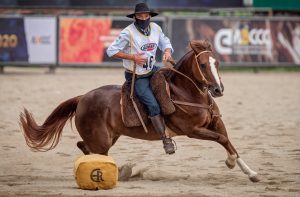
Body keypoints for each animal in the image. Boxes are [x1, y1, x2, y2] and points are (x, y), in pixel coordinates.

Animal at [19, 40, 260, 183]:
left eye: (216, 62)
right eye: (202, 65)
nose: (218, 90)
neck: (186, 93)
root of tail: (82, 98)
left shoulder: (216, 122)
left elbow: (228, 141)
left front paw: (250, 172)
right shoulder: (193, 130)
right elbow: (222, 139)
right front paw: (230, 163)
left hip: (109, 137)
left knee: (86, 148)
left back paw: (120, 172)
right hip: (101, 139)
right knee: (93, 151)